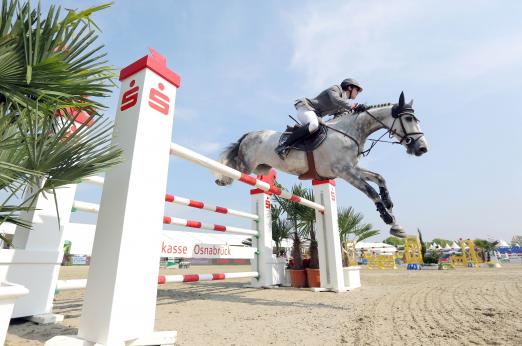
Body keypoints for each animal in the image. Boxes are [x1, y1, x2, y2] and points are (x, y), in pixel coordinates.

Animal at [213, 92, 424, 238]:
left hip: (262, 167)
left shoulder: (352, 168)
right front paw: (390, 221)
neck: (350, 132)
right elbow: (370, 191)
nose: (422, 148)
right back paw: (221, 179)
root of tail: (249, 134)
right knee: (233, 167)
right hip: (246, 165)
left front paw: (390, 208)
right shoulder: (344, 171)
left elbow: (380, 178)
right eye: (408, 118)